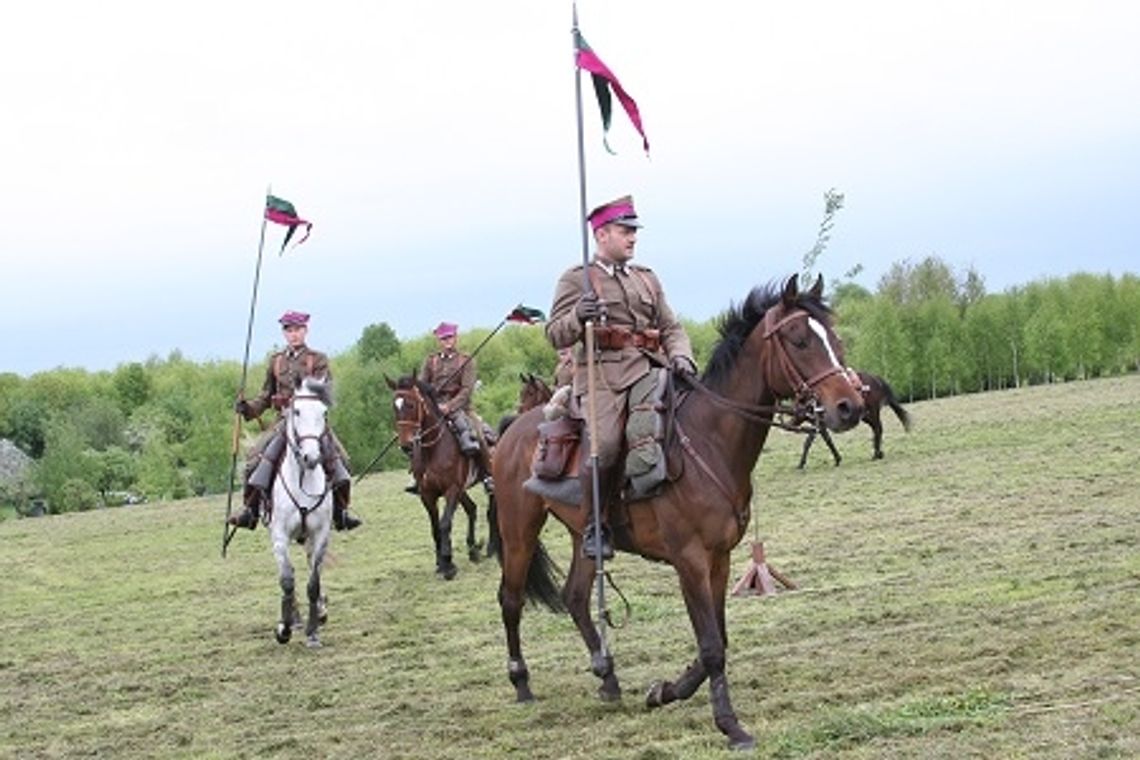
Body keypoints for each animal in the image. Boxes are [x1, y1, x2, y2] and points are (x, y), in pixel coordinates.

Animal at [385, 373, 497, 576]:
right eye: (394, 406)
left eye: (411, 404)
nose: (406, 445)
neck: (434, 450)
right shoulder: (427, 495)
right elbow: (435, 527)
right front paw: (440, 563)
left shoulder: (451, 490)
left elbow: (445, 523)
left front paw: (448, 564)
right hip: (462, 490)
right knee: (472, 509)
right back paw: (473, 550)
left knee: (491, 512)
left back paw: (491, 548)